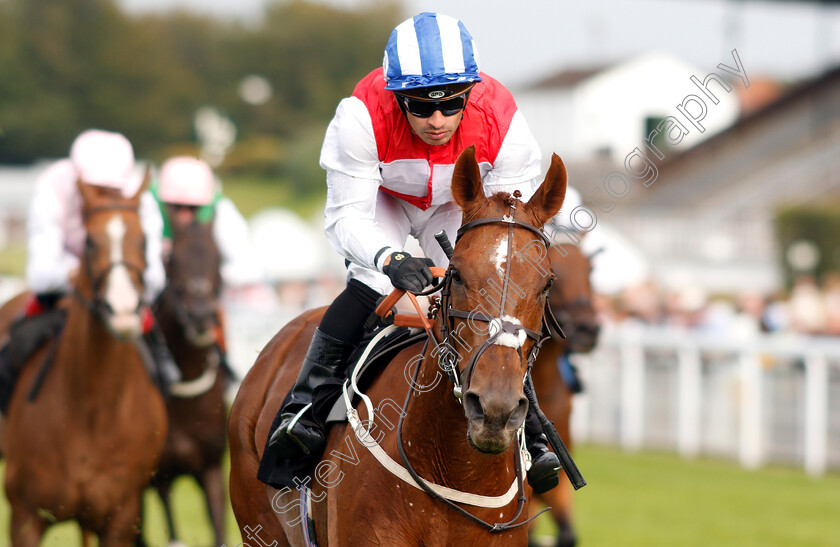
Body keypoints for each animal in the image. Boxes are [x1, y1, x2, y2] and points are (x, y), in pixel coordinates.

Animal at [1, 178, 169, 544]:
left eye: (144, 240)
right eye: (90, 242)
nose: (123, 310)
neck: (93, 407)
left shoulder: (120, 518)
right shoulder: (25, 515)